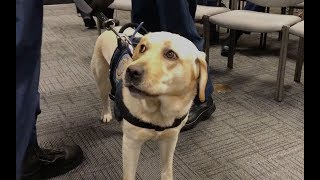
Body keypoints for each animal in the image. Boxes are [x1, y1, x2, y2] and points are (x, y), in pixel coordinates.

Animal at [91, 28, 209, 179]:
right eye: (142, 48)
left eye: (170, 54)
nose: (131, 71)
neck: (158, 111)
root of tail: (114, 29)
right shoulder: (131, 145)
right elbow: (129, 175)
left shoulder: (170, 140)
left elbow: (167, 171)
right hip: (102, 79)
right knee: (104, 98)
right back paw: (106, 114)